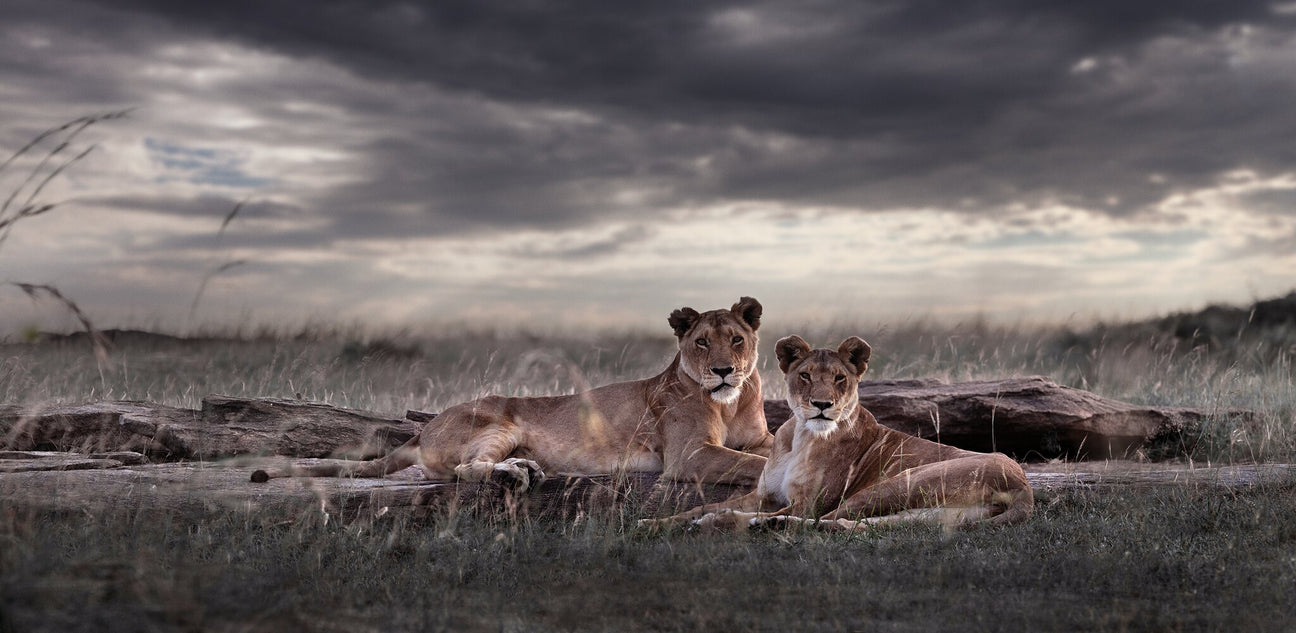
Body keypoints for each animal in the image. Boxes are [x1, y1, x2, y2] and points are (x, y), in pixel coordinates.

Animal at [250, 297, 774, 490]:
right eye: (701, 342)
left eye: (737, 340)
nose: (724, 371)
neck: (729, 405)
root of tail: (425, 427)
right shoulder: (688, 455)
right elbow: (753, 463)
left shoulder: (757, 436)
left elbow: (765, 450)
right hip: (496, 421)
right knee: (467, 469)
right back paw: (518, 471)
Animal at [641, 335, 1033, 531]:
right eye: (805, 375)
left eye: (840, 378)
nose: (821, 405)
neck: (799, 436)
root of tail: (1024, 487)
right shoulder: (764, 495)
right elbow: (702, 506)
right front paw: (654, 522)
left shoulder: (807, 501)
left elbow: (790, 512)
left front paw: (714, 519)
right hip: (929, 513)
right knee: (853, 526)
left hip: (894, 483)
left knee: (818, 521)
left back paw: (743, 524)